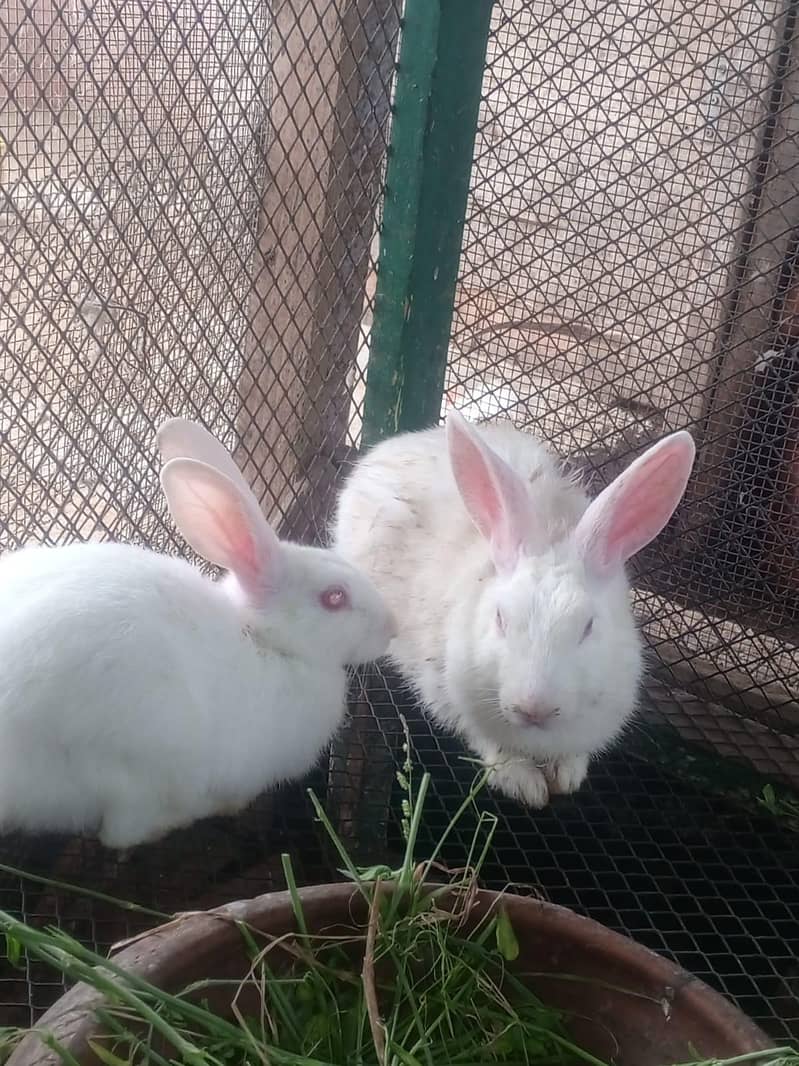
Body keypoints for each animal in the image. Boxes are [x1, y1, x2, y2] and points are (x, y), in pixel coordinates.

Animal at [332, 409, 695, 808]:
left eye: (588, 627)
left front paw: (567, 776)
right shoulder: (448, 693)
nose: (533, 708)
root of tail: (400, 443)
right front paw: (526, 787)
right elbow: (491, 745)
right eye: (500, 618)